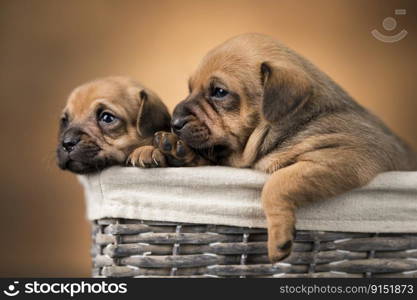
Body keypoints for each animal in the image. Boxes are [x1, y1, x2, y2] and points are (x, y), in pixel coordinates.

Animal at [151, 33, 416, 262]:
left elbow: (276, 185)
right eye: (190, 89)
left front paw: (279, 236)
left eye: (219, 92)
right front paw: (175, 148)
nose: (174, 123)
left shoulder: (345, 154)